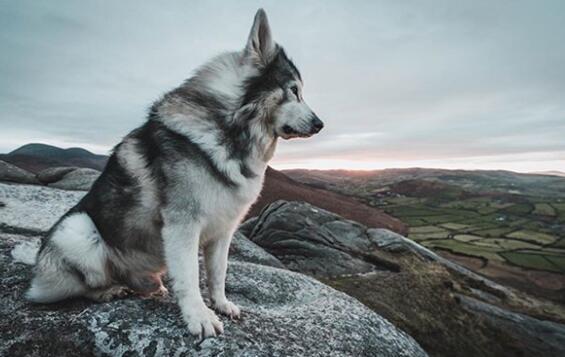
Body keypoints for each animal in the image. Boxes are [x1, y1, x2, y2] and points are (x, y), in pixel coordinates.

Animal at [26, 8, 324, 336]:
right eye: (294, 90)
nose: (320, 124)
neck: (230, 127)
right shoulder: (184, 224)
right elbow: (191, 276)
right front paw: (199, 315)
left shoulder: (224, 230)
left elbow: (219, 272)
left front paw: (221, 304)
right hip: (77, 230)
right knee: (79, 287)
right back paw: (108, 290)